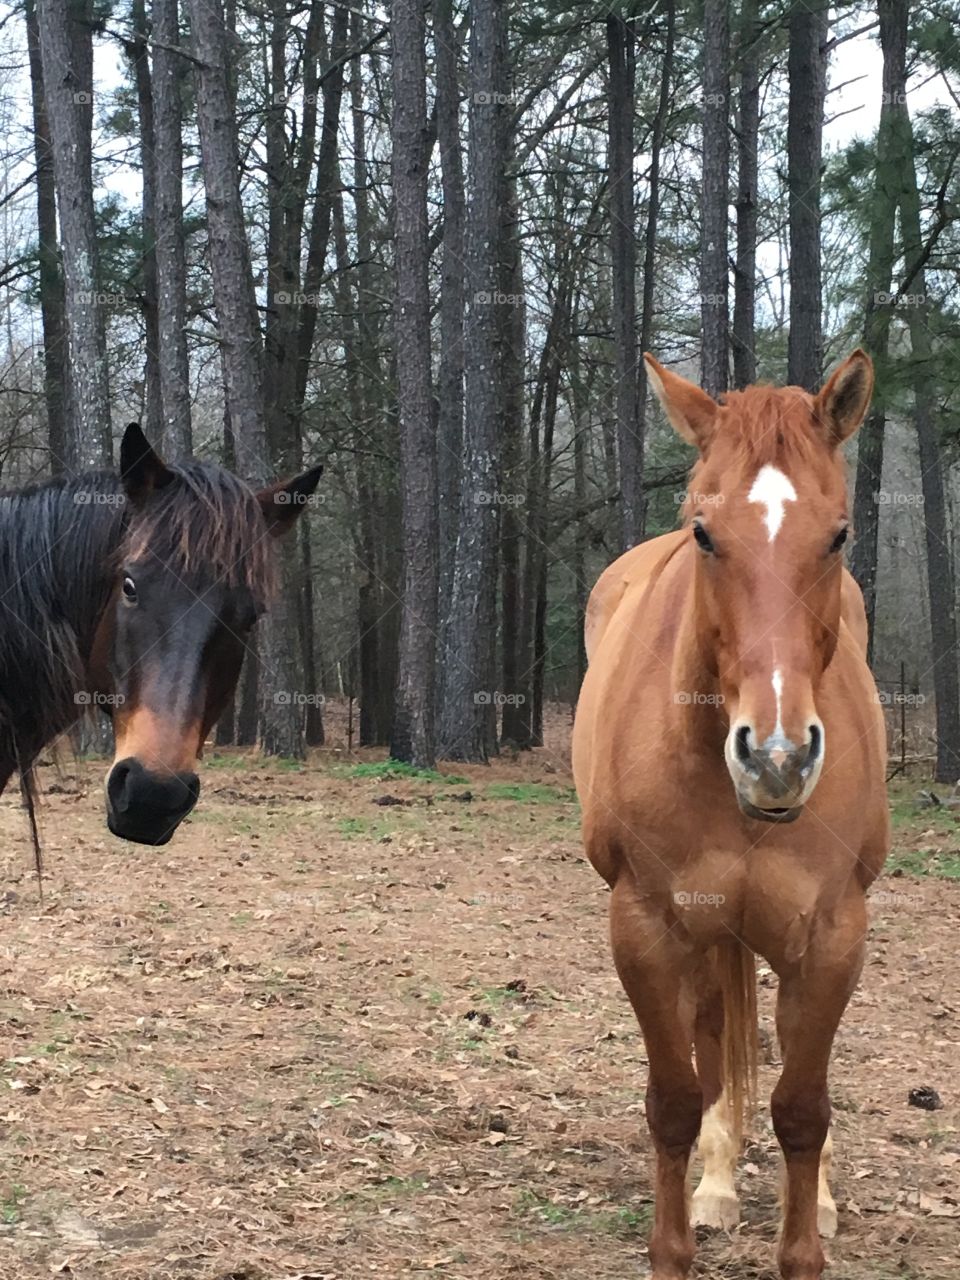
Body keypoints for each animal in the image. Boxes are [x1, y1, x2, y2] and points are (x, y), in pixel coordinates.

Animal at [572, 350, 889, 1280]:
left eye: (839, 534)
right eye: (706, 533)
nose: (777, 757)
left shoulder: (833, 935)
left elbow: (803, 1108)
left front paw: (807, 1231)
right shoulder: (646, 927)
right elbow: (676, 1101)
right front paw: (678, 1239)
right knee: (715, 1041)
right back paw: (715, 1184)